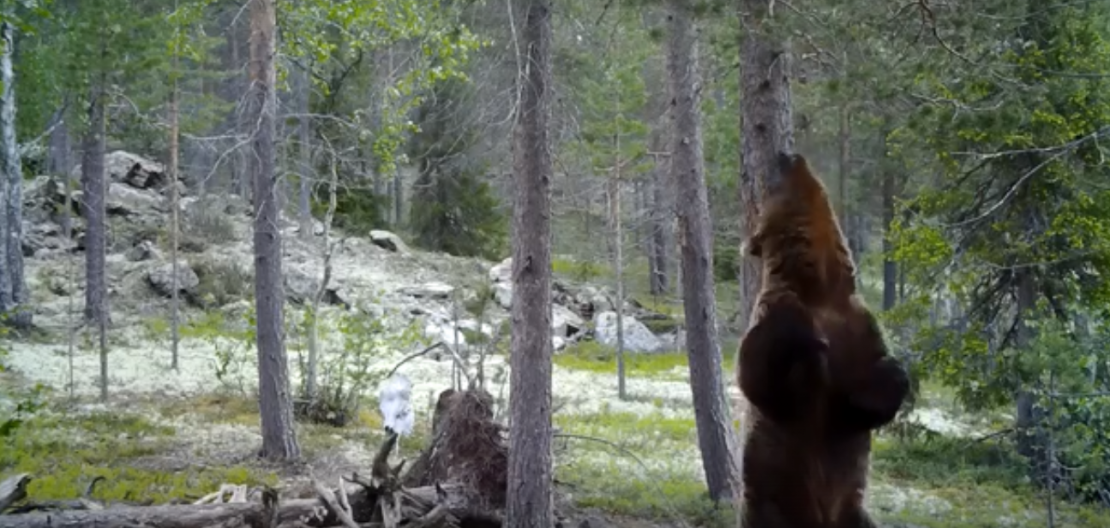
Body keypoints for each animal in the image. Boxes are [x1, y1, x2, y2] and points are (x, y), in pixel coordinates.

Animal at [735, 151, 910, 528]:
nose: (784, 154)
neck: (821, 284)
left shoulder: (858, 323)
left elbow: (861, 399)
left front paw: (893, 372)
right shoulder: (773, 309)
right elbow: (758, 377)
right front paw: (807, 340)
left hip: (854, 513)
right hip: (769, 505)